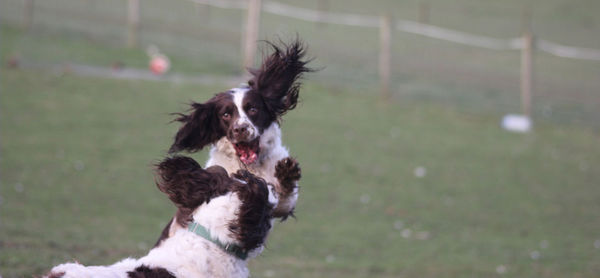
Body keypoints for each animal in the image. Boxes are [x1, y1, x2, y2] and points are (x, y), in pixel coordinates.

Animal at [163, 39, 314, 241]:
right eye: (226, 114)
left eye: (253, 109)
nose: (240, 129)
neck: (251, 168)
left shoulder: (278, 205)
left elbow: (285, 196)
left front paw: (287, 173)